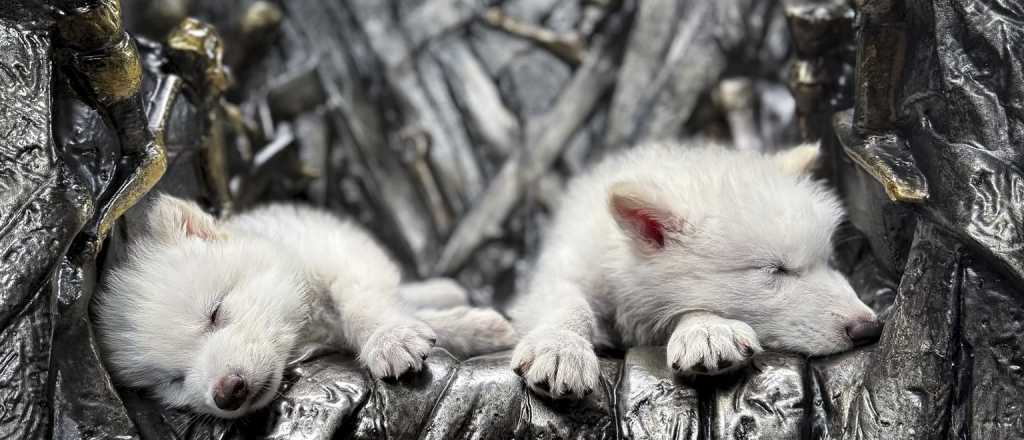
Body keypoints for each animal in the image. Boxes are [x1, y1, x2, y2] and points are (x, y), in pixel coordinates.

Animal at [93, 196, 516, 418]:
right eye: (174, 381)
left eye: (215, 313)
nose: (227, 393)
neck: (305, 328)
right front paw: (470, 328)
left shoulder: (341, 256)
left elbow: (363, 303)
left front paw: (390, 338)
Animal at [508, 142, 883, 399]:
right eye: (776, 270)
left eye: (828, 262)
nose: (870, 328)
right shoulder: (564, 268)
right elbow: (568, 302)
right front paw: (560, 347)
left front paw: (706, 330)